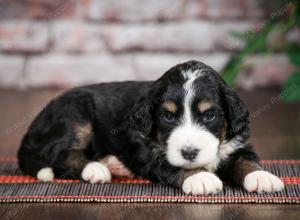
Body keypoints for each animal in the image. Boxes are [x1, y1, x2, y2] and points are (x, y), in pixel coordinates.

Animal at [17, 60, 284, 196]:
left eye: (209, 115)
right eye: (167, 116)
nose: (189, 152)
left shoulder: (237, 142)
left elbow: (245, 160)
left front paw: (262, 176)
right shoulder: (151, 154)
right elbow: (175, 166)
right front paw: (200, 178)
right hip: (75, 114)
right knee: (61, 155)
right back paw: (95, 169)